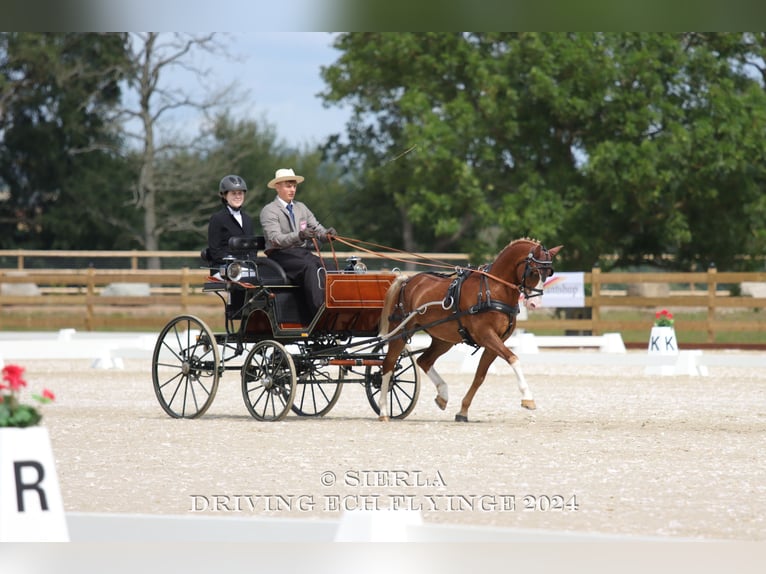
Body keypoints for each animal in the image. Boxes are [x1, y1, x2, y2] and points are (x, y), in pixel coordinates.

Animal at [380, 238, 564, 424]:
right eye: (533, 272)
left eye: (549, 273)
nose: (535, 304)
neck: (494, 289)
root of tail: (407, 281)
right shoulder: (487, 335)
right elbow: (513, 359)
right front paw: (528, 398)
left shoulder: (494, 343)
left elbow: (479, 377)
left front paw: (463, 411)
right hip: (400, 333)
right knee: (388, 365)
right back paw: (383, 411)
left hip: (444, 339)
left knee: (424, 361)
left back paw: (443, 395)